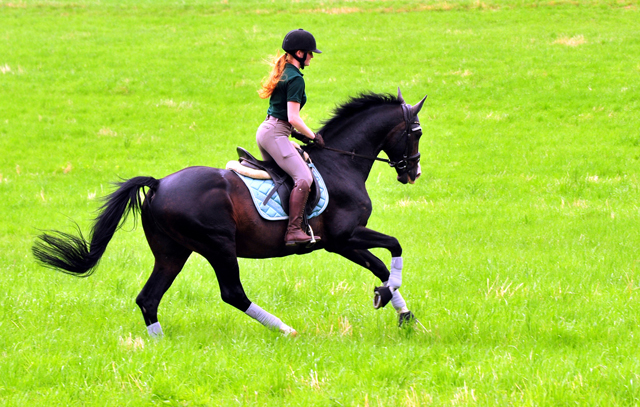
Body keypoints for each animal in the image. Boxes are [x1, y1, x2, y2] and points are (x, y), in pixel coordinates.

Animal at [32, 90, 428, 338]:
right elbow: (395, 246)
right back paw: (286, 330)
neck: (341, 163)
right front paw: (390, 297)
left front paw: (401, 311)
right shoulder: (343, 237)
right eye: (416, 133)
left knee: (148, 297)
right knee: (233, 293)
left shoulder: (341, 242)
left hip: (172, 251)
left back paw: (159, 344)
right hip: (217, 246)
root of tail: (159, 184)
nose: (413, 173)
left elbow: (380, 265)